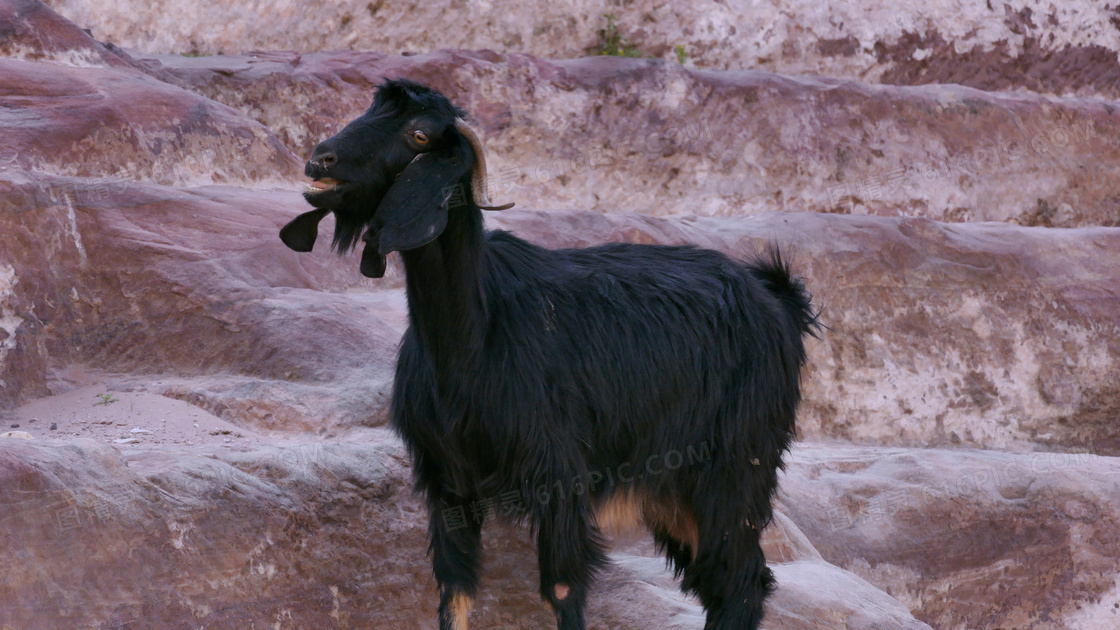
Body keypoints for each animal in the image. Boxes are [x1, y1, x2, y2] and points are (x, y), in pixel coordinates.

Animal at [284, 78, 819, 627]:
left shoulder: (559, 473)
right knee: (722, 580)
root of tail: (776, 298)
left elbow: (562, 588)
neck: (474, 334)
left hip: (736, 465)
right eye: (369, 110)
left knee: (740, 579)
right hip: (674, 485)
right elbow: (455, 592)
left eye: (418, 134)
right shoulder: (448, 481)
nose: (320, 160)